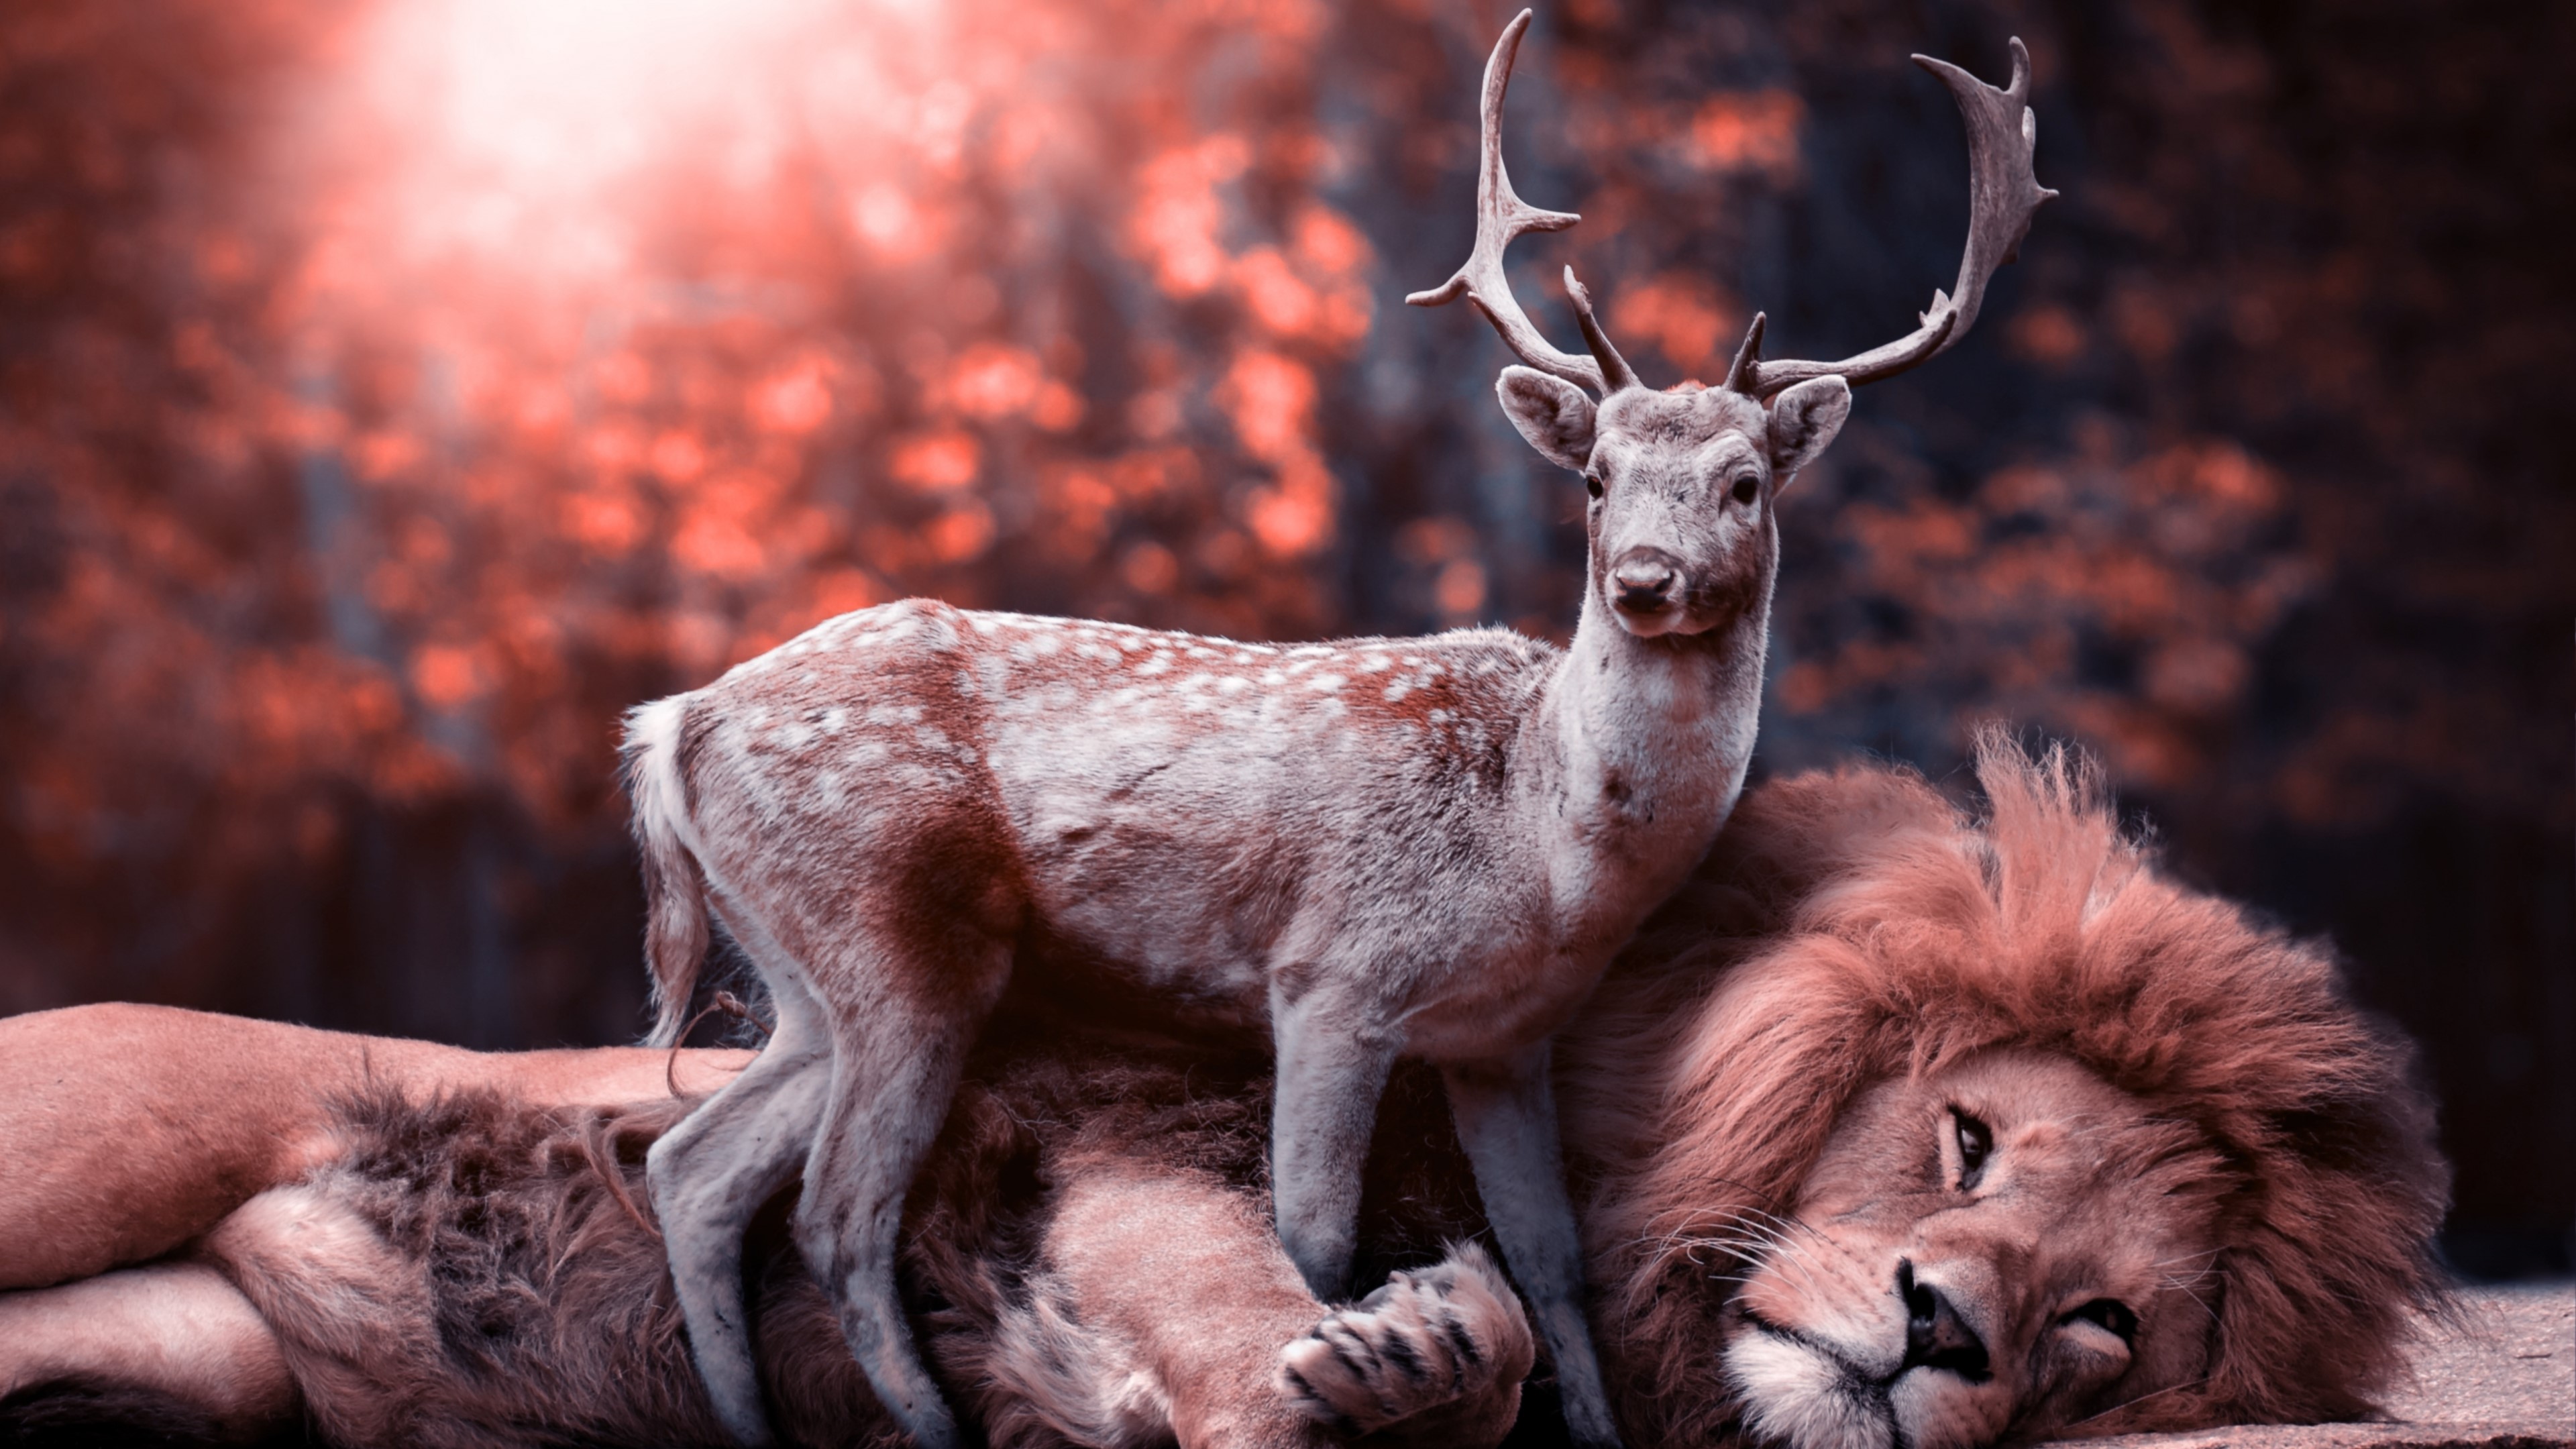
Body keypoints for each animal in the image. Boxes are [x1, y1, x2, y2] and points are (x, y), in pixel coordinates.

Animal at [0, 741, 2451, 1449]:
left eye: (2103, 1332)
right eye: (1965, 1141)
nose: (1945, 1333)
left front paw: (1421, 1358)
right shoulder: (1126, 1135)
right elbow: (1245, 1305)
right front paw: (1384, 1368)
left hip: (197, 1358)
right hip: (85, 1143)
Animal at [619, 12, 2052, 1447]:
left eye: (1745, 483)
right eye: (1597, 479)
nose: (1644, 580)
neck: (1546, 850)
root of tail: (673, 723)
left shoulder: (1505, 1038)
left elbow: (1557, 1262)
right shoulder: (1331, 978)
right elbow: (1314, 1241)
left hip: (807, 975)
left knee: (695, 1164)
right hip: (895, 935)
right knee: (837, 1212)